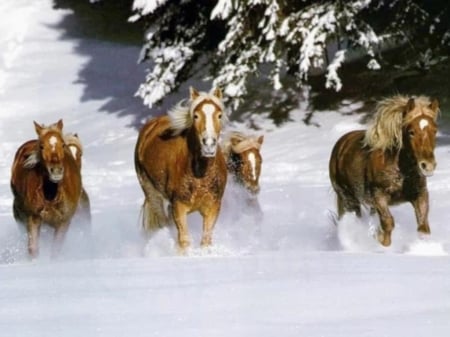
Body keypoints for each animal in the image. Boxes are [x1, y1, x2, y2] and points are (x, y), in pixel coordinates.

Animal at [10, 119, 82, 256]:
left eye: (63, 145)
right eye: (42, 146)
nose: (56, 171)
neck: (51, 196)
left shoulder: (63, 222)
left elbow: (55, 251)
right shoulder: (33, 218)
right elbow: (33, 249)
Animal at [133, 86, 225, 252]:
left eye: (219, 115)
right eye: (196, 116)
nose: (209, 144)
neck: (200, 176)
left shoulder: (213, 206)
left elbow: (205, 240)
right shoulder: (179, 206)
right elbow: (184, 241)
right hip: (152, 193)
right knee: (163, 222)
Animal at [328, 96, 438, 245]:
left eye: (435, 130)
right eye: (411, 132)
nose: (428, 165)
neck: (402, 172)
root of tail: (341, 144)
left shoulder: (420, 194)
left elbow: (423, 227)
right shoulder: (379, 196)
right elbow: (388, 223)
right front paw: (378, 239)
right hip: (347, 197)